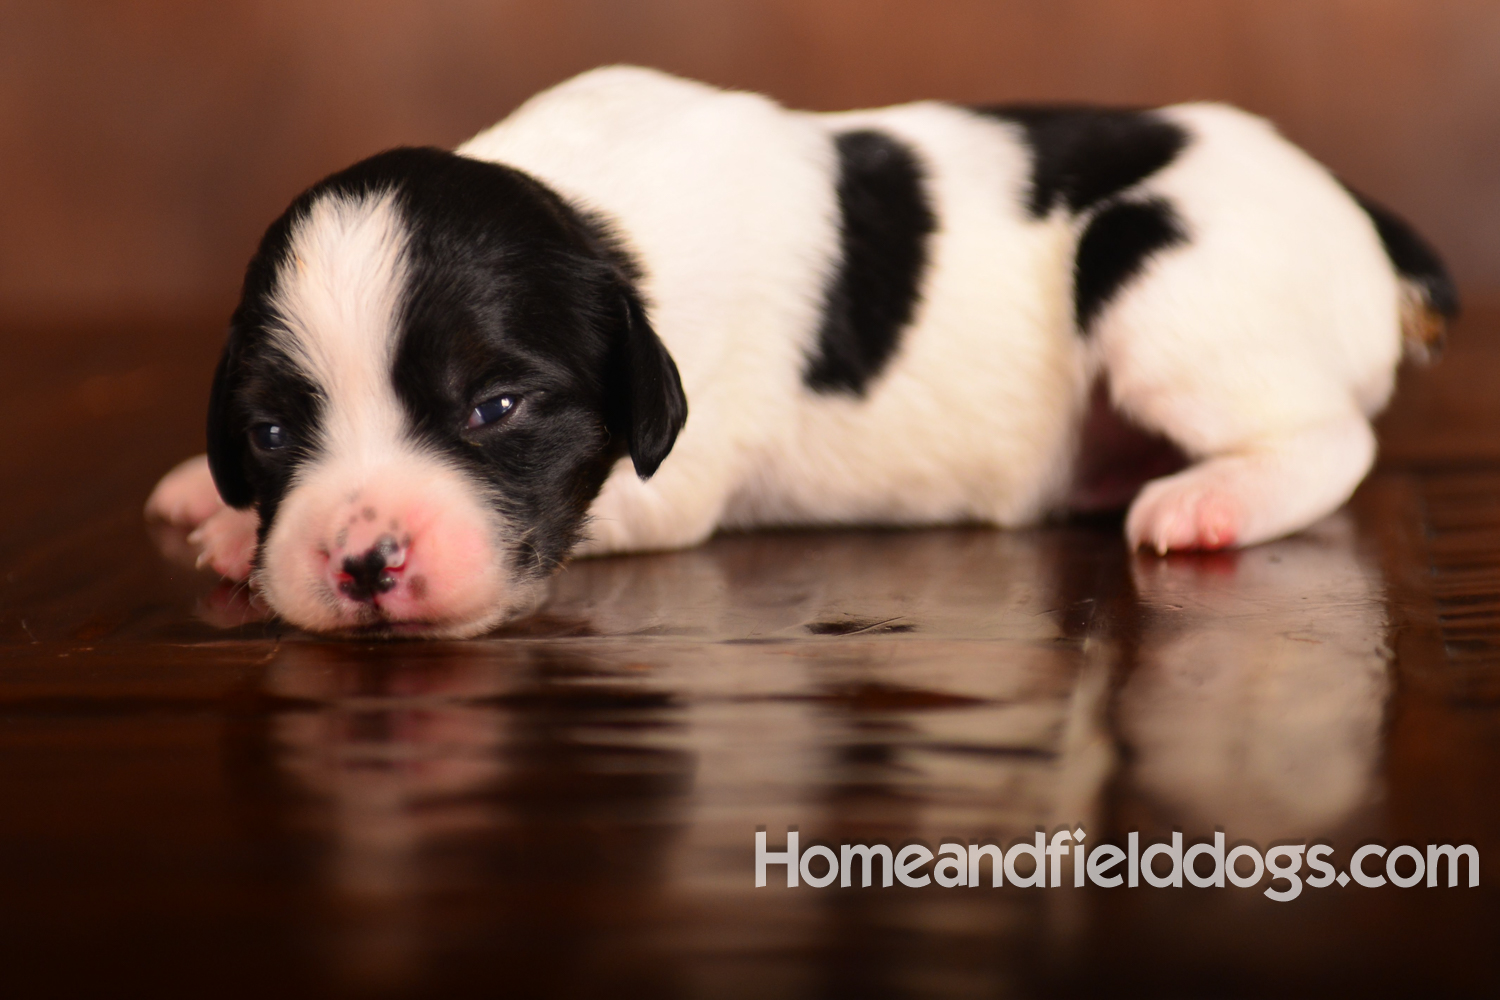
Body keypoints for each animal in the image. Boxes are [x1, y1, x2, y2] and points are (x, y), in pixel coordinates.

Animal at [146, 66, 1458, 638]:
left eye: (495, 408)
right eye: (270, 430)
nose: (361, 559)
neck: (591, 212)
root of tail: (1356, 206)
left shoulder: (672, 480)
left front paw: (227, 535)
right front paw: (210, 495)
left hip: (1157, 274)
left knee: (1331, 438)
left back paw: (1211, 498)